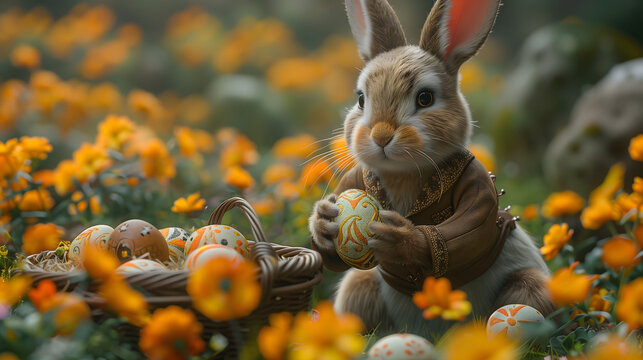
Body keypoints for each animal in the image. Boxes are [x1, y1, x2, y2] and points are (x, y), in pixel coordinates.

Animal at [310, 0, 556, 336]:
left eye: (425, 98)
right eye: (361, 99)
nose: (381, 135)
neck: (403, 174)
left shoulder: (478, 185)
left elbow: (467, 232)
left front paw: (396, 236)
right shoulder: (355, 178)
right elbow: (332, 259)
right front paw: (324, 220)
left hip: (529, 288)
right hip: (359, 285)